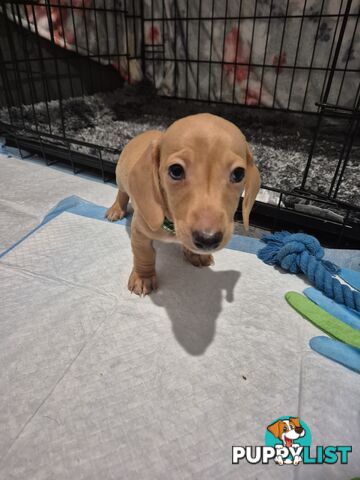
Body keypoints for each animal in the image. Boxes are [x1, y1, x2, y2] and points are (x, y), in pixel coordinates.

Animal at [105, 115, 260, 298]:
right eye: (176, 170)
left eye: (238, 174)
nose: (208, 239)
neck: (172, 225)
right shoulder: (139, 230)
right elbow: (144, 254)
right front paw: (143, 278)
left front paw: (195, 254)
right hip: (120, 177)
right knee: (122, 193)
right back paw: (116, 209)